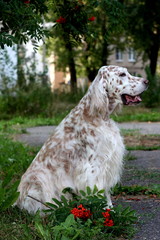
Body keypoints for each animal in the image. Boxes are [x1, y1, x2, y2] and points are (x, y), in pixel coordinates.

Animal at [15, 65, 148, 214]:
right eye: (122, 74)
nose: (147, 81)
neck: (98, 115)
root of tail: (17, 203)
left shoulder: (106, 164)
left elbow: (106, 193)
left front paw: (110, 211)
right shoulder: (92, 167)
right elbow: (98, 193)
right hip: (39, 181)